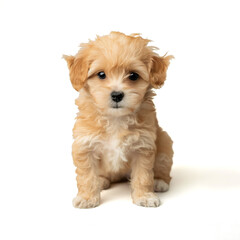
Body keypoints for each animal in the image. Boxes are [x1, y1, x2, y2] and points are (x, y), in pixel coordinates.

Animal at [62, 31, 173, 208]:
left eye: (133, 76)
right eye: (101, 74)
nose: (116, 95)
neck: (115, 119)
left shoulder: (143, 146)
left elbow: (143, 175)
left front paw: (145, 196)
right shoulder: (85, 145)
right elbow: (87, 176)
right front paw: (87, 198)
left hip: (165, 144)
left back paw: (159, 181)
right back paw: (101, 180)